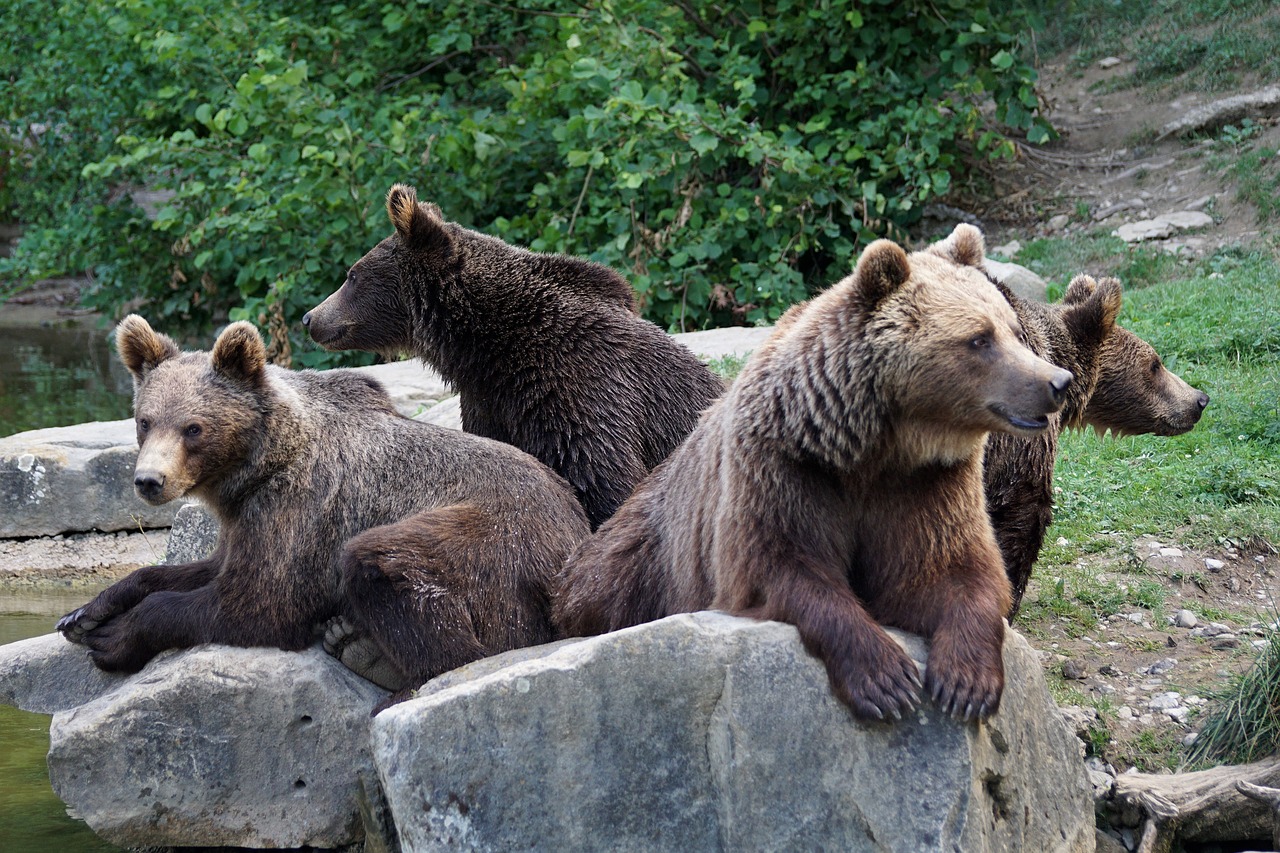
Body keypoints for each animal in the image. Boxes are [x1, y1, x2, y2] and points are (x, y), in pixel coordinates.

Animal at [55, 312, 586, 701]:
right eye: (144, 421)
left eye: (193, 428)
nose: (149, 481)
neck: (254, 469)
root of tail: (575, 528)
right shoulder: (245, 519)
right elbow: (196, 569)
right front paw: (84, 614)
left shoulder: (300, 511)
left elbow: (256, 603)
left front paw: (115, 637)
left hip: (496, 542)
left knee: (391, 565)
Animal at [296, 185, 721, 527]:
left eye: (352, 275)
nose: (310, 318)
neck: (489, 346)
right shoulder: (491, 402)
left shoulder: (581, 389)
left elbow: (602, 481)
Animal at [555, 224, 1075, 717]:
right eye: (979, 338)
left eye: (1012, 330)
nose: (1057, 381)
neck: (871, 446)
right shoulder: (783, 468)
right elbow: (784, 567)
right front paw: (886, 679)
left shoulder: (928, 483)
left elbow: (948, 569)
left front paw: (965, 682)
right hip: (632, 567)